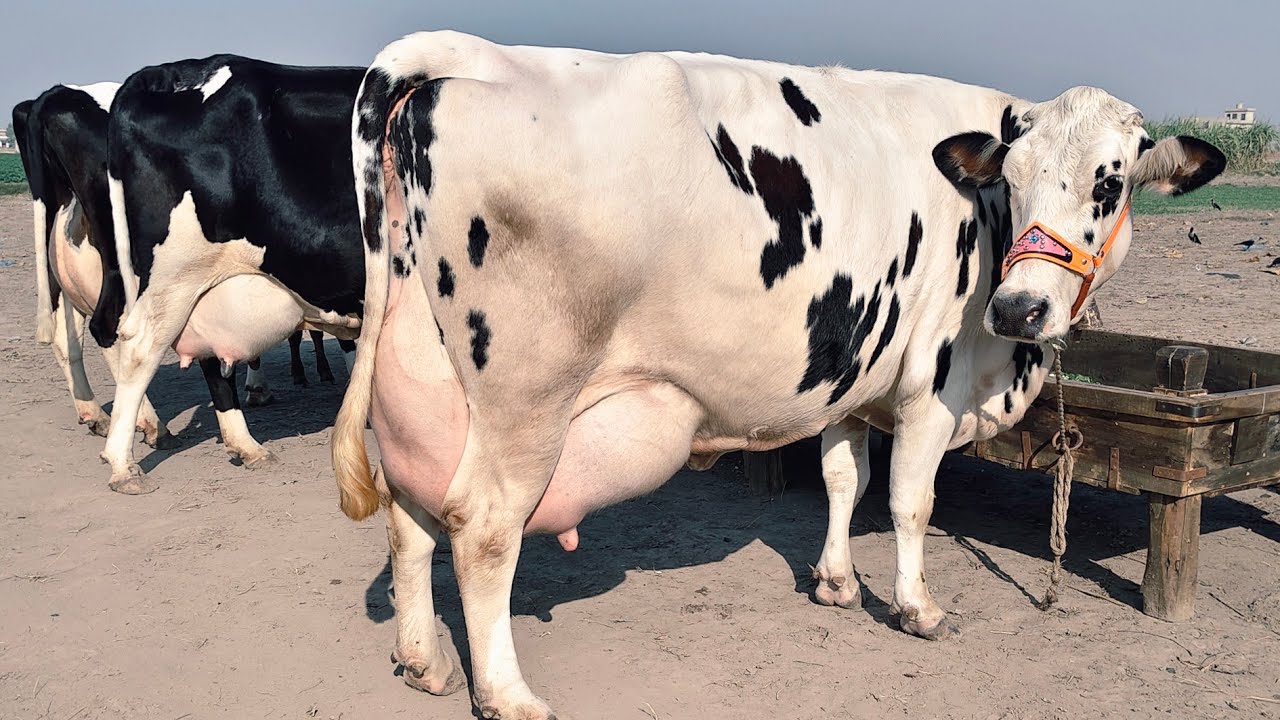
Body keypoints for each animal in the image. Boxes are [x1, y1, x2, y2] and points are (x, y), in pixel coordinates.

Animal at [330, 32, 1225, 718]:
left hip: (421, 379)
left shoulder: (852, 373)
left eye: (1111, 182)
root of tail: (474, 53)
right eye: (1011, 178)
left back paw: (426, 661)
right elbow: (910, 500)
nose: (1020, 308)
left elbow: (842, 476)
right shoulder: (930, 384)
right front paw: (918, 608)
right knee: (483, 530)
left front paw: (835, 582)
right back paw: (508, 694)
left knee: (410, 517)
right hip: (527, 397)